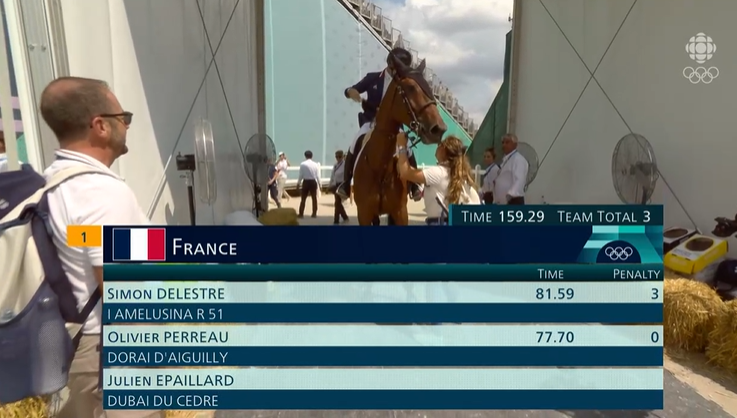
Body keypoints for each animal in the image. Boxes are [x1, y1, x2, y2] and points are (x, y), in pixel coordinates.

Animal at [352, 56, 447, 226]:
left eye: (429, 88)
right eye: (410, 88)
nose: (439, 129)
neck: (381, 169)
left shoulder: (400, 212)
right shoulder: (364, 214)